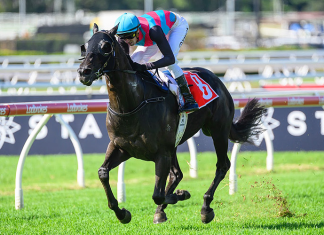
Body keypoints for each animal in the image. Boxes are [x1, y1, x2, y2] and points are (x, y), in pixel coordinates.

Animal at [78, 23, 266, 224]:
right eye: (85, 46)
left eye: (106, 46)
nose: (83, 72)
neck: (132, 105)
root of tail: (218, 80)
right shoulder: (121, 147)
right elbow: (103, 173)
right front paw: (122, 213)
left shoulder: (162, 153)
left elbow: (157, 195)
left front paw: (180, 195)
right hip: (176, 144)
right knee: (177, 174)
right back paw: (162, 211)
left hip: (218, 131)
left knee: (222, 166)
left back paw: (205, 208)